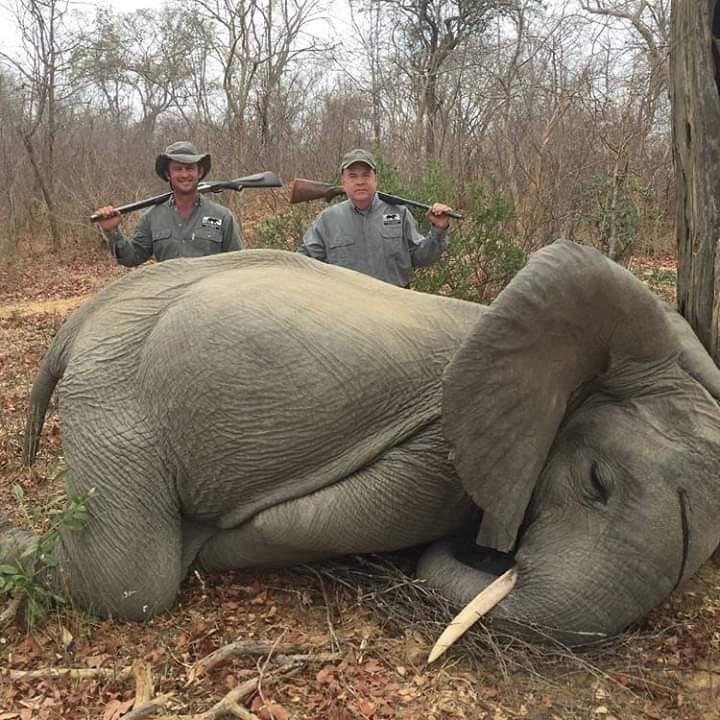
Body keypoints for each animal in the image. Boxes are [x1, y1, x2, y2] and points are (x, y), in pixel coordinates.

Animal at [4, 240, 720, 651]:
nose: (490, 553)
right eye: (598, 481)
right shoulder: (440, 455)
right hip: (113, 393)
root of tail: (80, 324)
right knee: (130, 581)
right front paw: (208, 543)